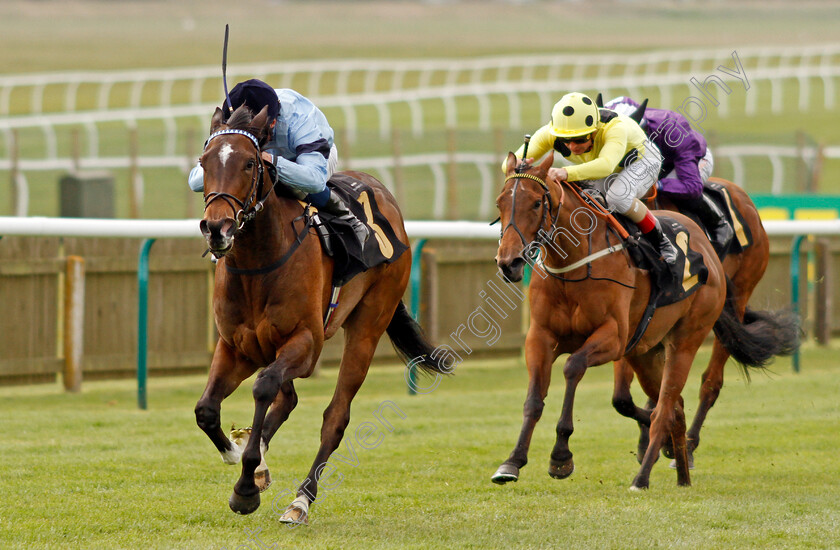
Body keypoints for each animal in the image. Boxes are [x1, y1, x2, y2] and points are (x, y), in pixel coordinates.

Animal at [194, 106, 450, 528]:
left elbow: (263, 388)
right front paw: (236, 453)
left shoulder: (306, 343)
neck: (258, 264)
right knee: (288, 399)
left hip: (367, 326)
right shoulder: (236, 347)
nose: (217, 228)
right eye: (203, 162)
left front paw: (245, 486)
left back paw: (300, 500)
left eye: (250, 163)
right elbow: (206, 409)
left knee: (335, 417)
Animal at [492, 152, 796, 492]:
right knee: (673, 407)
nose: (508, 263)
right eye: (500, 203)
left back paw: (651, 471)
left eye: (535, 203)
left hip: (700, 327)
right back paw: (679, 472)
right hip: (646, 350)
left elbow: (573, 367)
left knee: (689, 394)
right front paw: (512, 462)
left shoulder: (613, 337)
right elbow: (536, 399)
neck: (574, 262)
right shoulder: (541, 337)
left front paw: (561, 456)